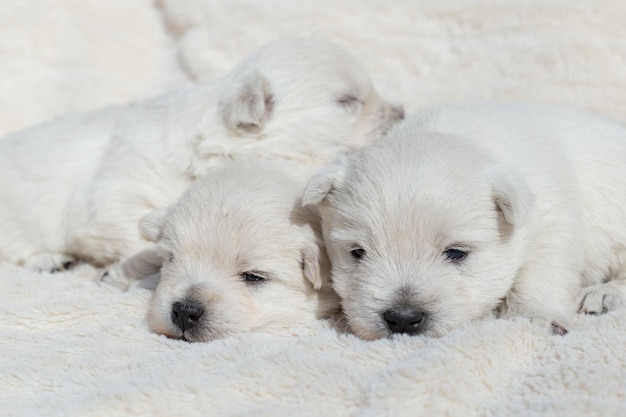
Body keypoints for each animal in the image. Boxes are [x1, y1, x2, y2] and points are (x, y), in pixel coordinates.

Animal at [304, 102, 624, 340]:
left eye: (456, 253)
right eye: (357, 252)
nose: (404, 318)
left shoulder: (550, 218)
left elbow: (540, 270)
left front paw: (536, 317)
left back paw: (603, 293)